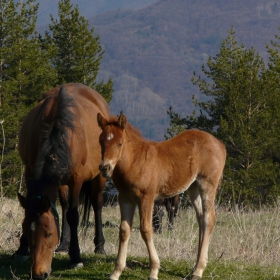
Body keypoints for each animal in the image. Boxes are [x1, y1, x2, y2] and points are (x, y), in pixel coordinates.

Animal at [14, 83, 109, 280]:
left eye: (49, 233)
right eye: (26, 231)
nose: (39, 274)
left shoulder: (76, 178)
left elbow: (73, 215)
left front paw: (76, 258)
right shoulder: (30, 171)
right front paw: (21, 250)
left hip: (99, 176)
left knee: (96, 203)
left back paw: (99, 246)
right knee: (64, 205)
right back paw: (64, 244)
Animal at [97, 112, 226, 278]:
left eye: (120, 143)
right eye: (101, 141)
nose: (105, 168)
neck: (134, 161)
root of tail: (220, 144)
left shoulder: (146, 197)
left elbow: (146, 229)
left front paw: (154, 270)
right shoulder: (125, 198)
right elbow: (124, 230)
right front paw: (116, 272)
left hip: (207, 184)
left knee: (209, 218)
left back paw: (198, 270)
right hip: (194, 188)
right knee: (201, 219)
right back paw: (195, 267)